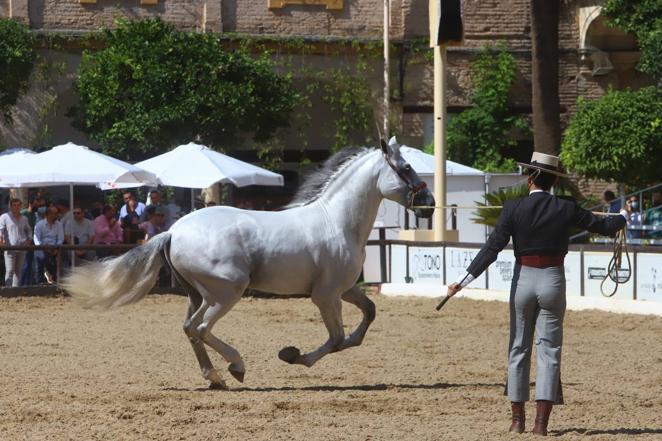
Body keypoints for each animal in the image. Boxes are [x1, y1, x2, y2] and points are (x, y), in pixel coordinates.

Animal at [63, 136, 436, 386]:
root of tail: (173, 231)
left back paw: (215, 377)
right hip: (227, 291)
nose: (430, 203)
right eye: (406, 168)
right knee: (200, 328)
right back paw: (236, 367)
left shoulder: (344, 289)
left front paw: (298, 354)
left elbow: (365, 319)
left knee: (189, 328)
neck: (337, 221)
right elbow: (336, 338)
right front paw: (293, 356)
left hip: (199, 294)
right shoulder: (325, 296)